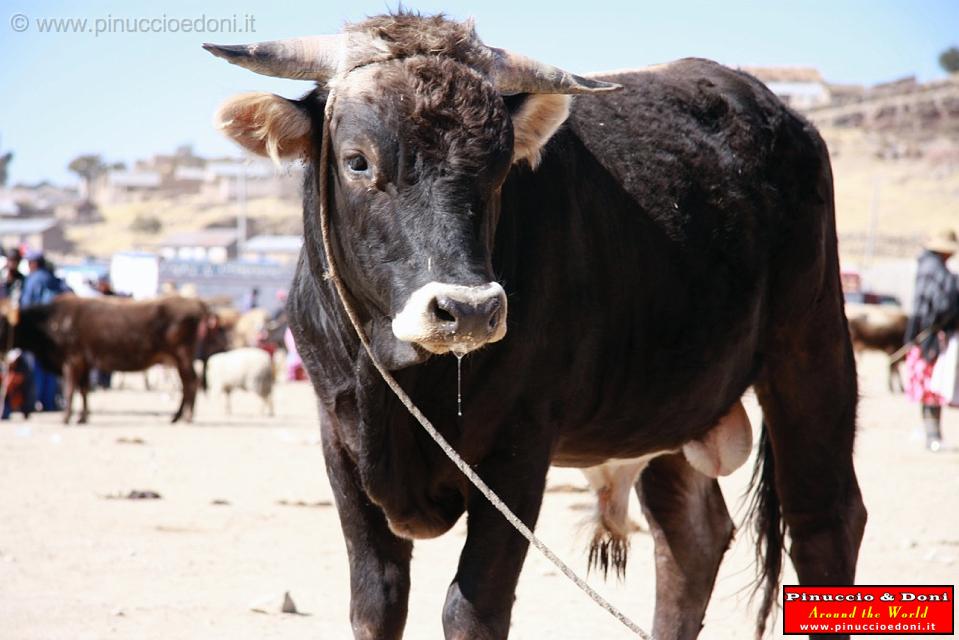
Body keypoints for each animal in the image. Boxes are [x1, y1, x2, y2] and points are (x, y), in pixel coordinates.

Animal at [0, 296, 210, 424]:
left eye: (2, 321)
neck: (50, 322)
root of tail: (197, 303)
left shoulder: (72, 359)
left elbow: (70, 390)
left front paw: (66, 418)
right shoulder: (84, 363)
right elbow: (84, 390)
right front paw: (82, 417)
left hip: (182, 355)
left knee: (191, 382)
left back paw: (186, 417)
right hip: (177, 359)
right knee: (187, 384)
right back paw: (177, 416)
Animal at [206, 11, 868, 640]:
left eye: (500, 168)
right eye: (357, 161)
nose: (468, 310)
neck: (392, 375)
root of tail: (782, 115)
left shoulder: (521, 444)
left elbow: (473, 610)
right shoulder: (338, 438)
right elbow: (377, 605)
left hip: (811, 348)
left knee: (825, 522)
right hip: (668, 405)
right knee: (690, 538)